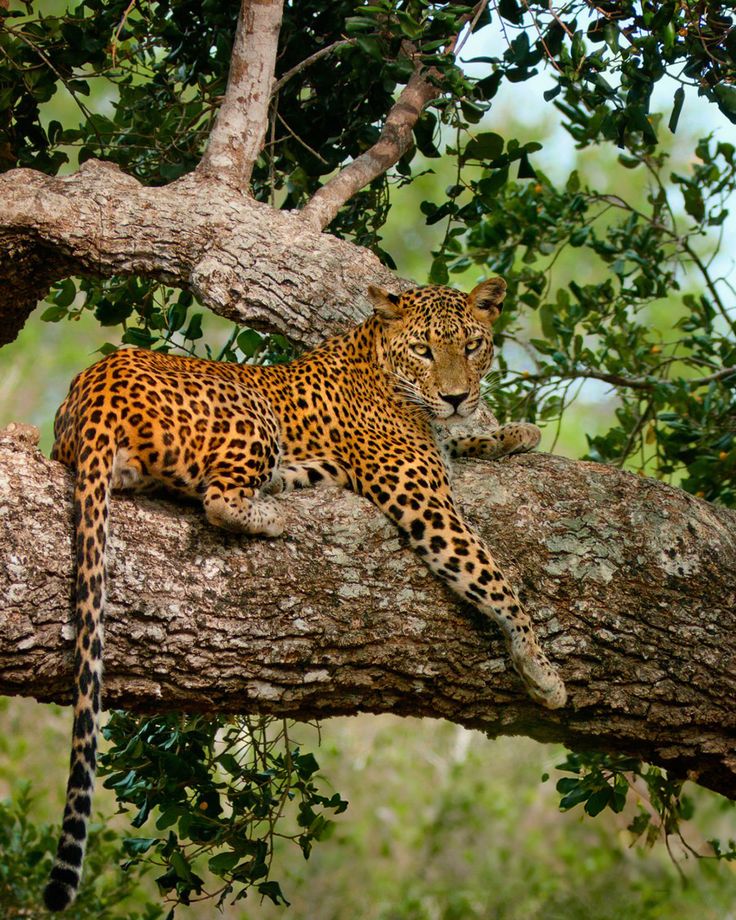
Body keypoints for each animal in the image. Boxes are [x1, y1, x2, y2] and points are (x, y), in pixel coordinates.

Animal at [44, 277, 566, 911]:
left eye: (472, 346)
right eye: (423, 351)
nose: (458, 396)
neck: (379, 357)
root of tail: (95, 388)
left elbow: (467, 442)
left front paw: (513, 431)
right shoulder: (425, 502)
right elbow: (495, 579)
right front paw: (541, 670)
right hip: (253, 418)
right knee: (218, 498)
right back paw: (274, 513)